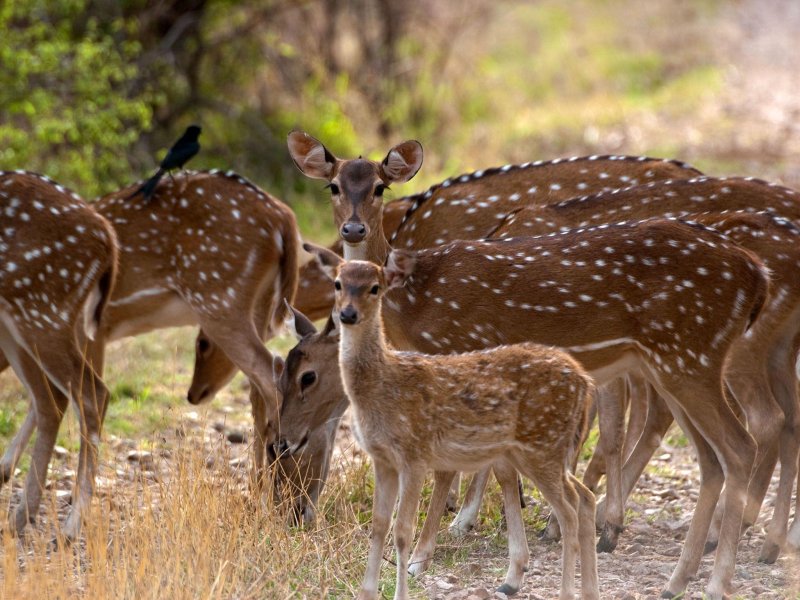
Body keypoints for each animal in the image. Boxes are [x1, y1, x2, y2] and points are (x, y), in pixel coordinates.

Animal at [0, 169, 117, 540]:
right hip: (17, 320)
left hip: (42, 308)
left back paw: (71, 525)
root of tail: (108, 238)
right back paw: (20, 517)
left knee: (91, 394)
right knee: (51, 400)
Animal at [278, 256, 596, 600]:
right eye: (338, 283)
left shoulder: (414, 455)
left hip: (542, 445)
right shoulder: (383, 459)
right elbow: (378, 525)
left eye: (374, 287)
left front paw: (403, 588)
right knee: (584, 496)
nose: (348, 314)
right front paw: (367, 592)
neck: (380, 385)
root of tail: (585, 381)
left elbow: (402, 531)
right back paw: (585, 589)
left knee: (569, 508)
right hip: (538, 450)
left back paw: (566, 591)